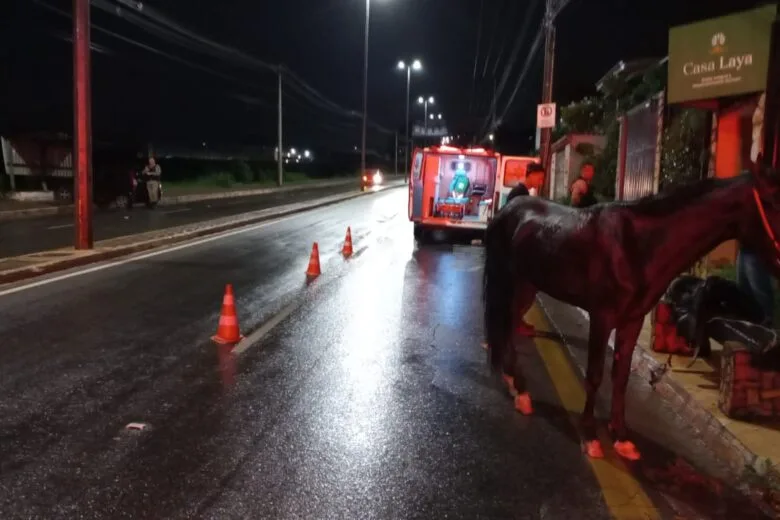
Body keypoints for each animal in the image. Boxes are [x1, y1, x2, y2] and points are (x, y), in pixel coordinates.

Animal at [482, 169, 780, 462]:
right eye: (770, 203)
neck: (637, 247)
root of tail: (509, 209)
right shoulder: (602, 318)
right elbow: (594, 375)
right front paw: (590, 436)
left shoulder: (632, 321)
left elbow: (621, 376)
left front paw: (621, 437)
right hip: (510, 280)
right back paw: (520, 391)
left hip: (527, 286)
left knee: (509, 325)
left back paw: (514, 383)